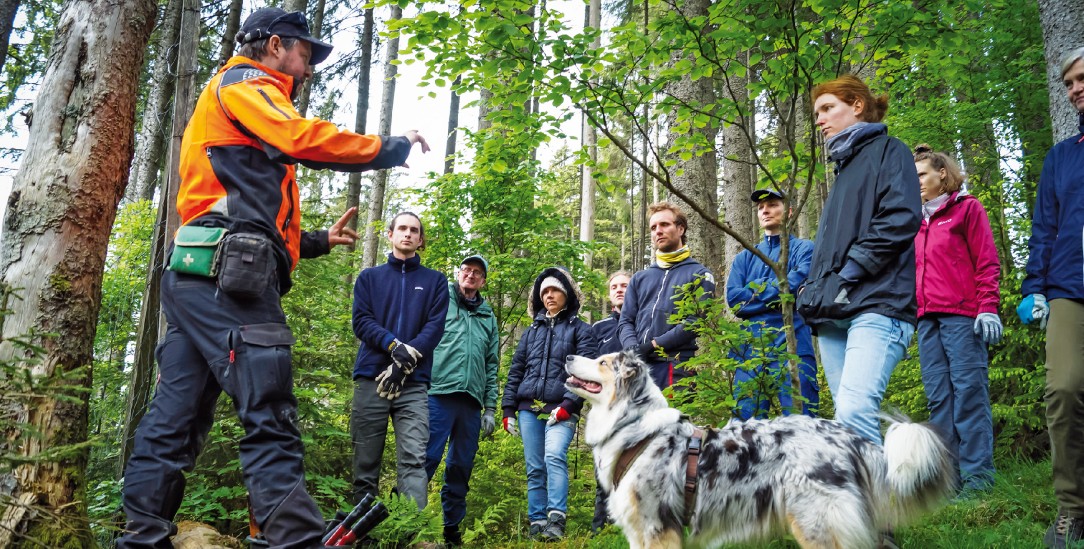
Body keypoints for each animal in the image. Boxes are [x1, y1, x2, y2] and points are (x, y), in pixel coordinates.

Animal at [563, 351, 953, 549]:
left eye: (602, 362)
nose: (567, 356)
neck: (634, 428)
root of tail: (846, 435)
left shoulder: (658, 526)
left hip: (816, 522)